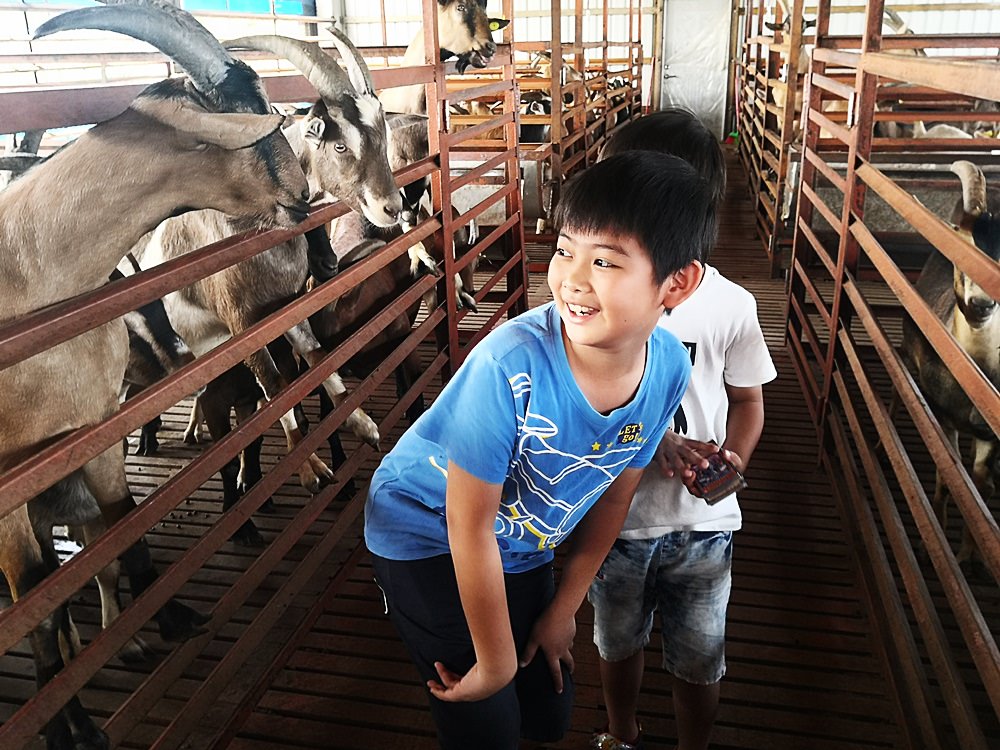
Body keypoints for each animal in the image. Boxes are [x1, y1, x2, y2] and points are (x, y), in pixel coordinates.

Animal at [0, 2, 312, 748]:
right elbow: (38, 599)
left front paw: (165, 618)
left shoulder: (90, 430)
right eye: (252, 123)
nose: (304, 196)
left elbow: (120, 531)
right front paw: (67, 727)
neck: (32, 270)